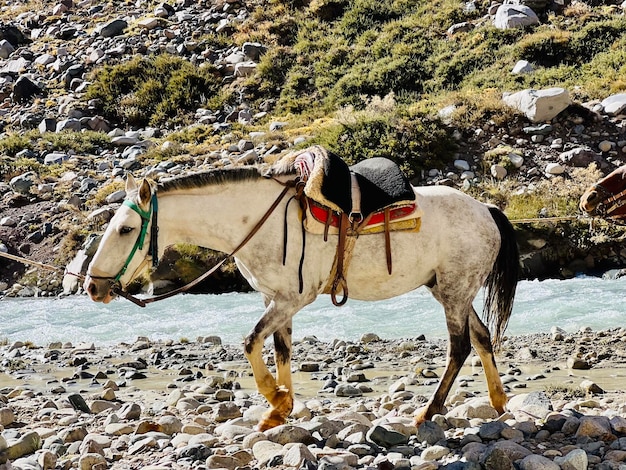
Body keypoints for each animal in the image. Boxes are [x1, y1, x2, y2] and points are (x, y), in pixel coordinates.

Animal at [85, 152, 520, 432]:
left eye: (126, 229)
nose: (92, 285)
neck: (257, 221)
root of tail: (487, 210)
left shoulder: (293, 298)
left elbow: (250, 341)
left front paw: (276, 401)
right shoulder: (276, 299)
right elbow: (281, 348)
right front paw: (281, 409)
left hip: (455, 291)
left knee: (459, 347)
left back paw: (427, 414)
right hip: (449, 291)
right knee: (482, 338)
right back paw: (499, 403)